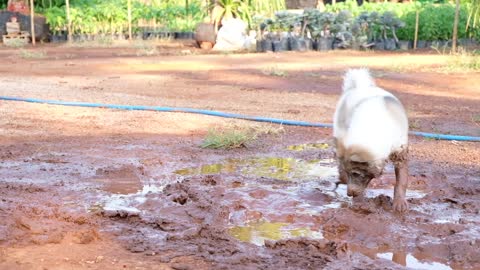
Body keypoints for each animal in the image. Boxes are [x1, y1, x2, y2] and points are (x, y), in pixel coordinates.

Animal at [334, 68, 408, 212]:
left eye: (356, 174)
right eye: (351, 173)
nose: (349, 194)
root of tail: (359, 86)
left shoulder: (400, 151)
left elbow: (401, 180)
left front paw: (399, 202)